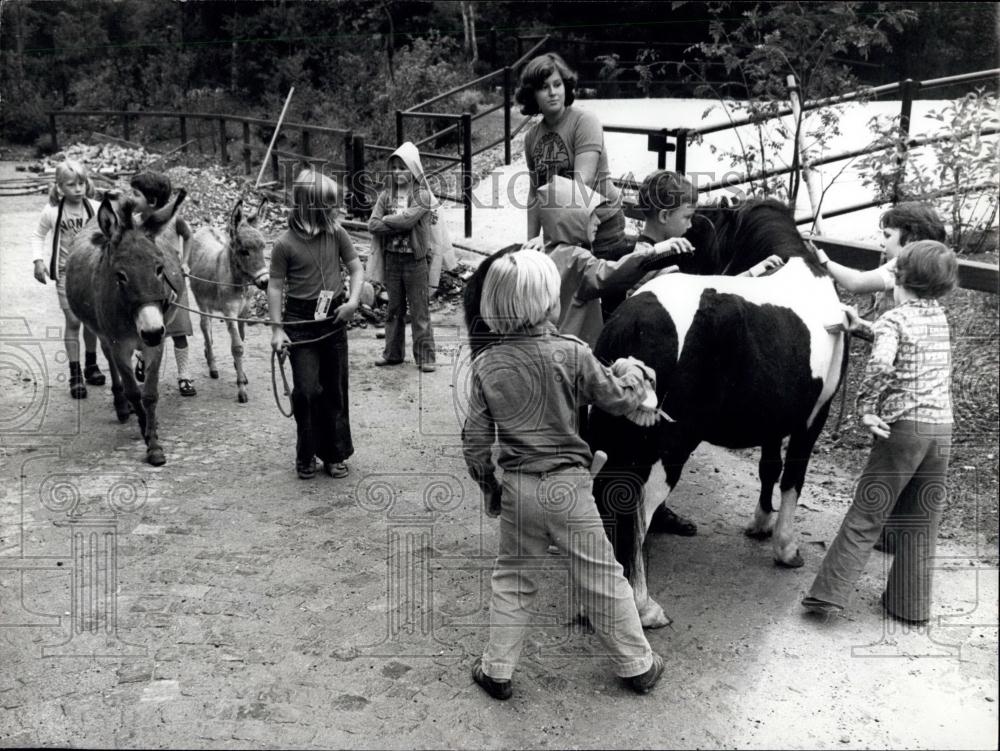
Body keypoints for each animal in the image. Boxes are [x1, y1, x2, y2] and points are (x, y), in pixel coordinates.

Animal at [588, 201, 848, 628]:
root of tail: (635, 320)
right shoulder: (812, 419)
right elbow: (793, 478)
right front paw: (786, 548)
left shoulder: (774, 420)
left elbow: (769, 467)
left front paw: (760, 524)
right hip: (665, 452)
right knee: (634, 512)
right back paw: (644, 608)